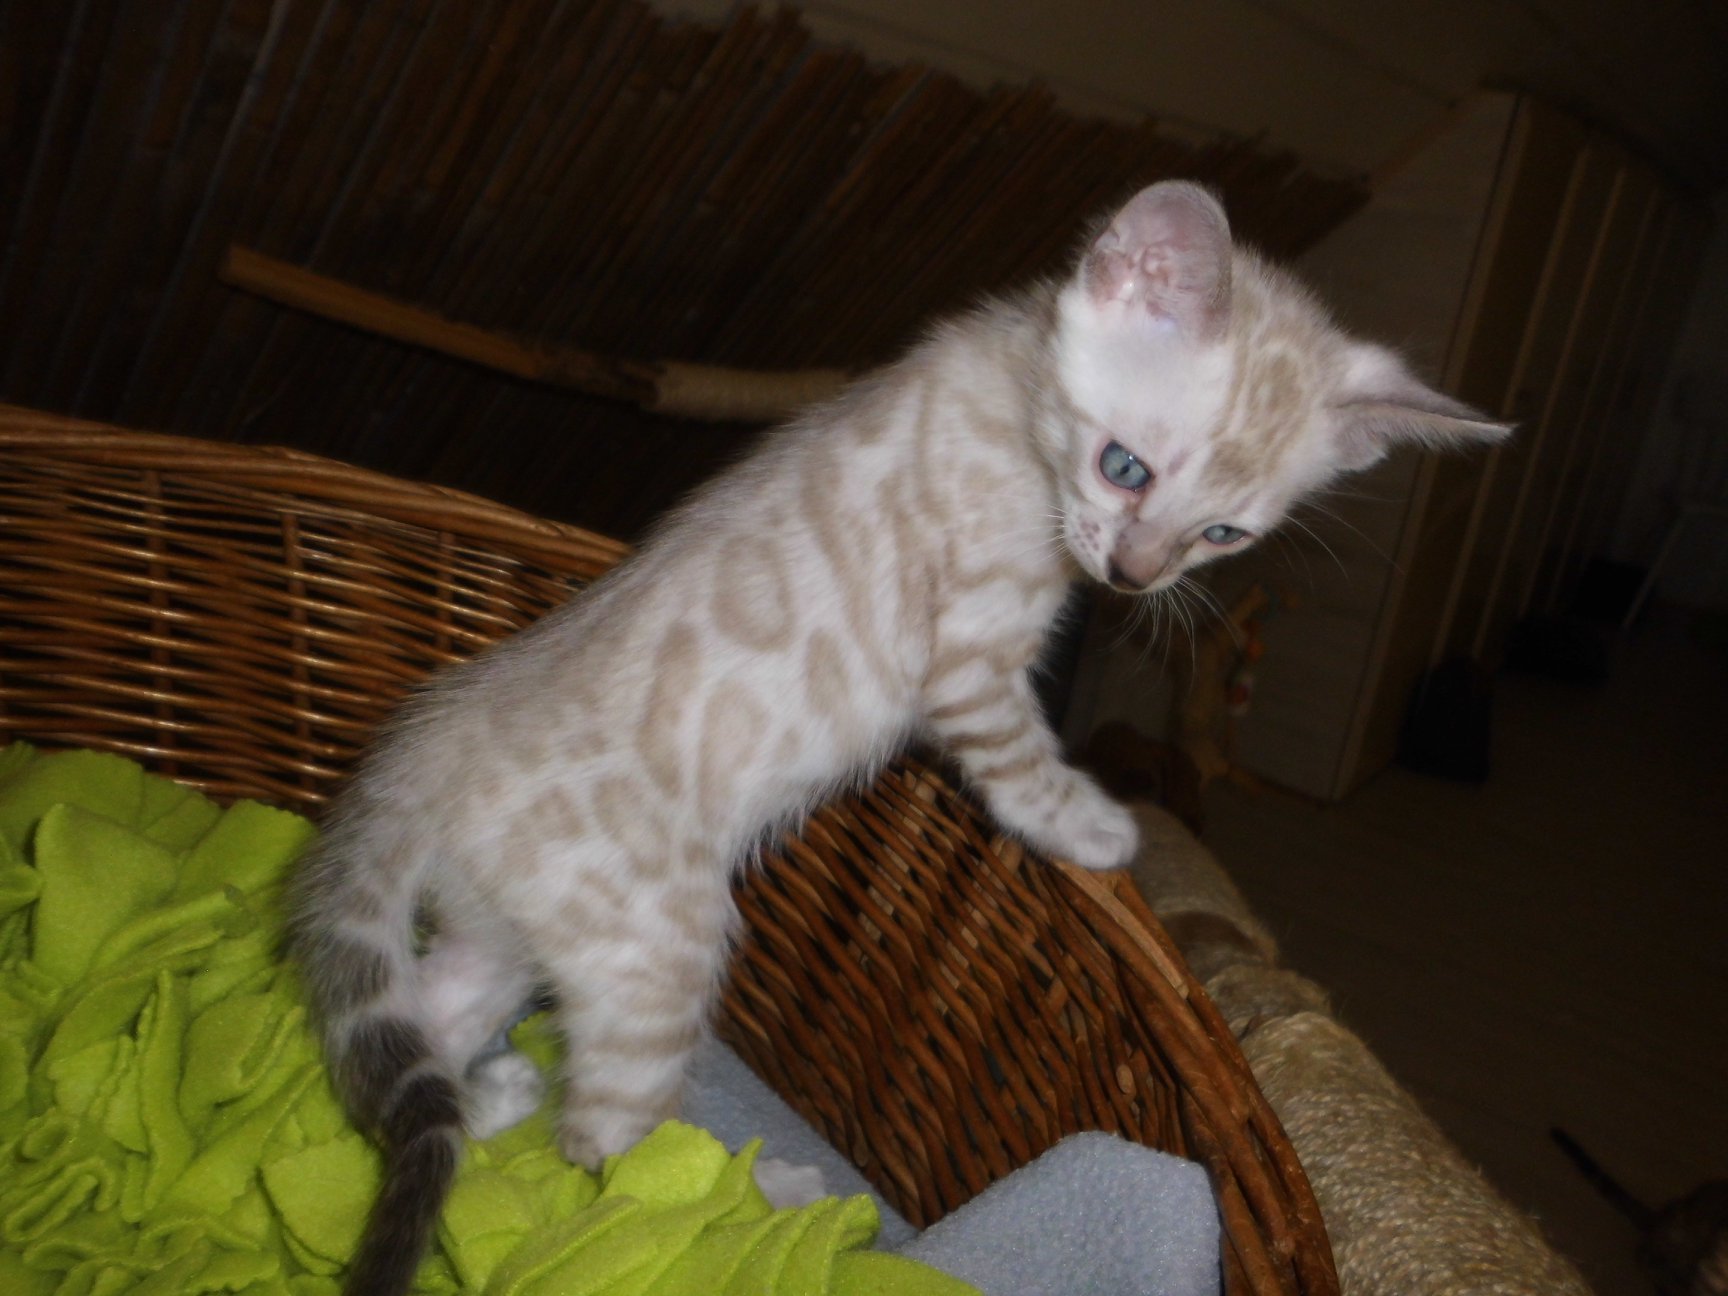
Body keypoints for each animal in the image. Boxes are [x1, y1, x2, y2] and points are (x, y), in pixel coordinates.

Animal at [290, 179, 1509, 1296]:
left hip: (516, 927)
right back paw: (758, 1199)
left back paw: (491, 1094)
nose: (1132, 576)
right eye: (1126, 467)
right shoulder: (968, 662)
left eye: (1222, 535)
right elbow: (1019, 758)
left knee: (430, 1021)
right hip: (657, 945)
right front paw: (1101, 832)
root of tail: (427, 739)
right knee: (608, 1147)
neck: (1018, 396)